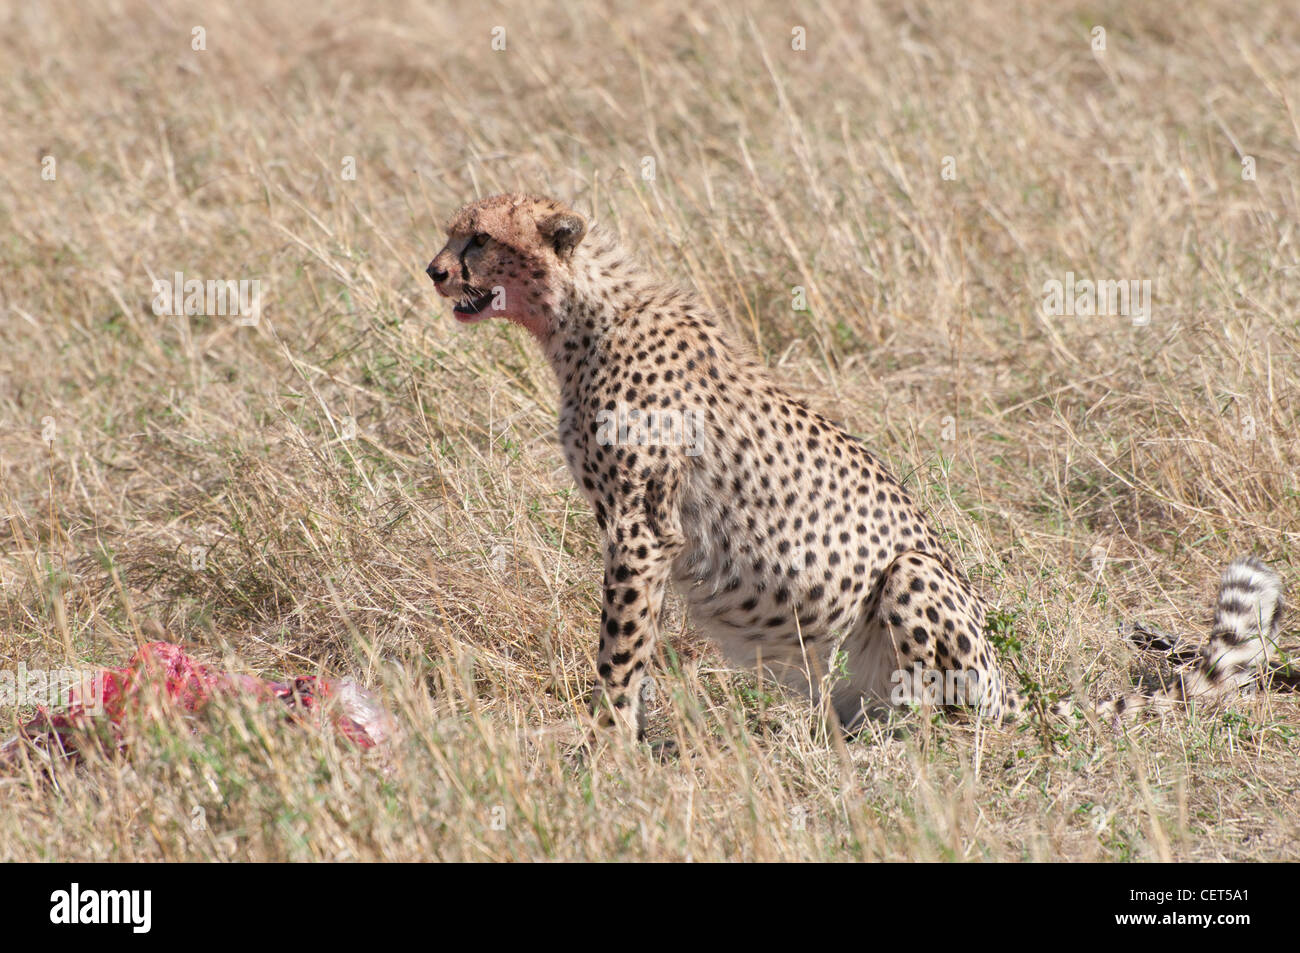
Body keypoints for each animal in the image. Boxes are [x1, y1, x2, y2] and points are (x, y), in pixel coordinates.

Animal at [428, 193, 1289, 738]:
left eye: (479, 239)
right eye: (453, 233)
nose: (434, 270)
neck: (576, 316)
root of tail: (1011, 688)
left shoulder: (641, 528)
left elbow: (620, 649)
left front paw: (603, 741)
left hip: (913, 578)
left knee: (943, 716)